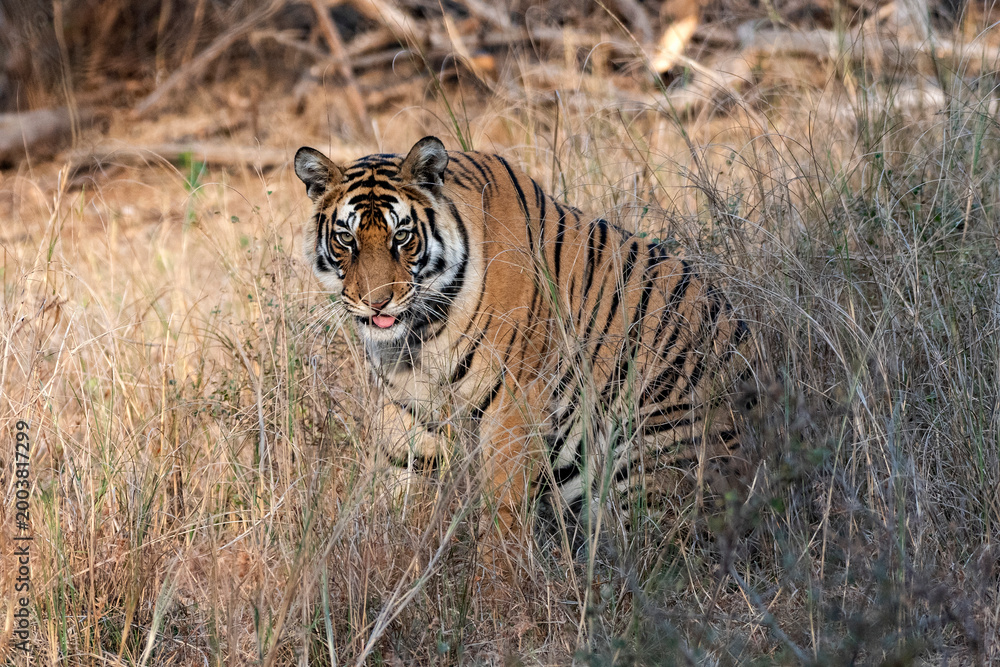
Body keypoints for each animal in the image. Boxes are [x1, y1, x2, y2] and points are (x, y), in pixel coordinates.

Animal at [294, 136, 756, 573]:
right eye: (346, 238)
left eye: (401, 237)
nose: (376, 304)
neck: (418, 338)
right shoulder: (404, 406)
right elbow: (398, 484)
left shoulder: (513, 401)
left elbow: (504, 506)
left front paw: (496, 582)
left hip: (646, 440)